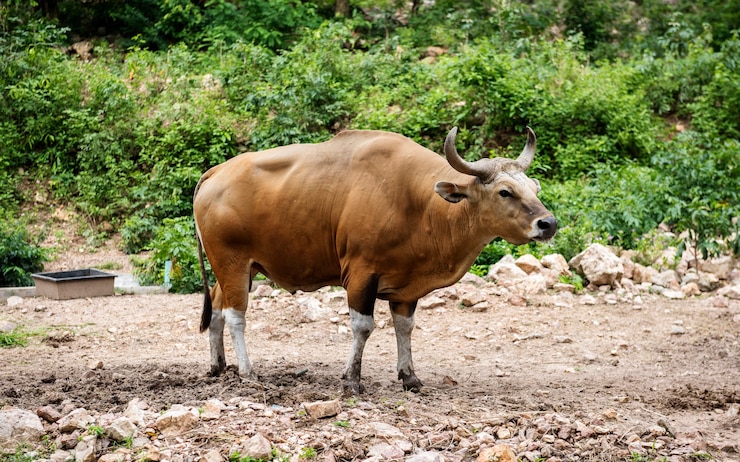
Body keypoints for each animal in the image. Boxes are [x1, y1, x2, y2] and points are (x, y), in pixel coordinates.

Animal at [194, 126, 556, 394]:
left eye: (534, 188)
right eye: (505, 192)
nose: (548, 223)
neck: (420, 206)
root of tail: (215, 172)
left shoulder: (407, 288)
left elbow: (405, 327)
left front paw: (409, 376)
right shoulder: (360, 273)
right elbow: (363, 326)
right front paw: (352, 380)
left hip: (239, 268)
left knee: (217, 308)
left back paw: (217, 366)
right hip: (232, 261)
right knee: (236, 316)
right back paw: (247, 371)